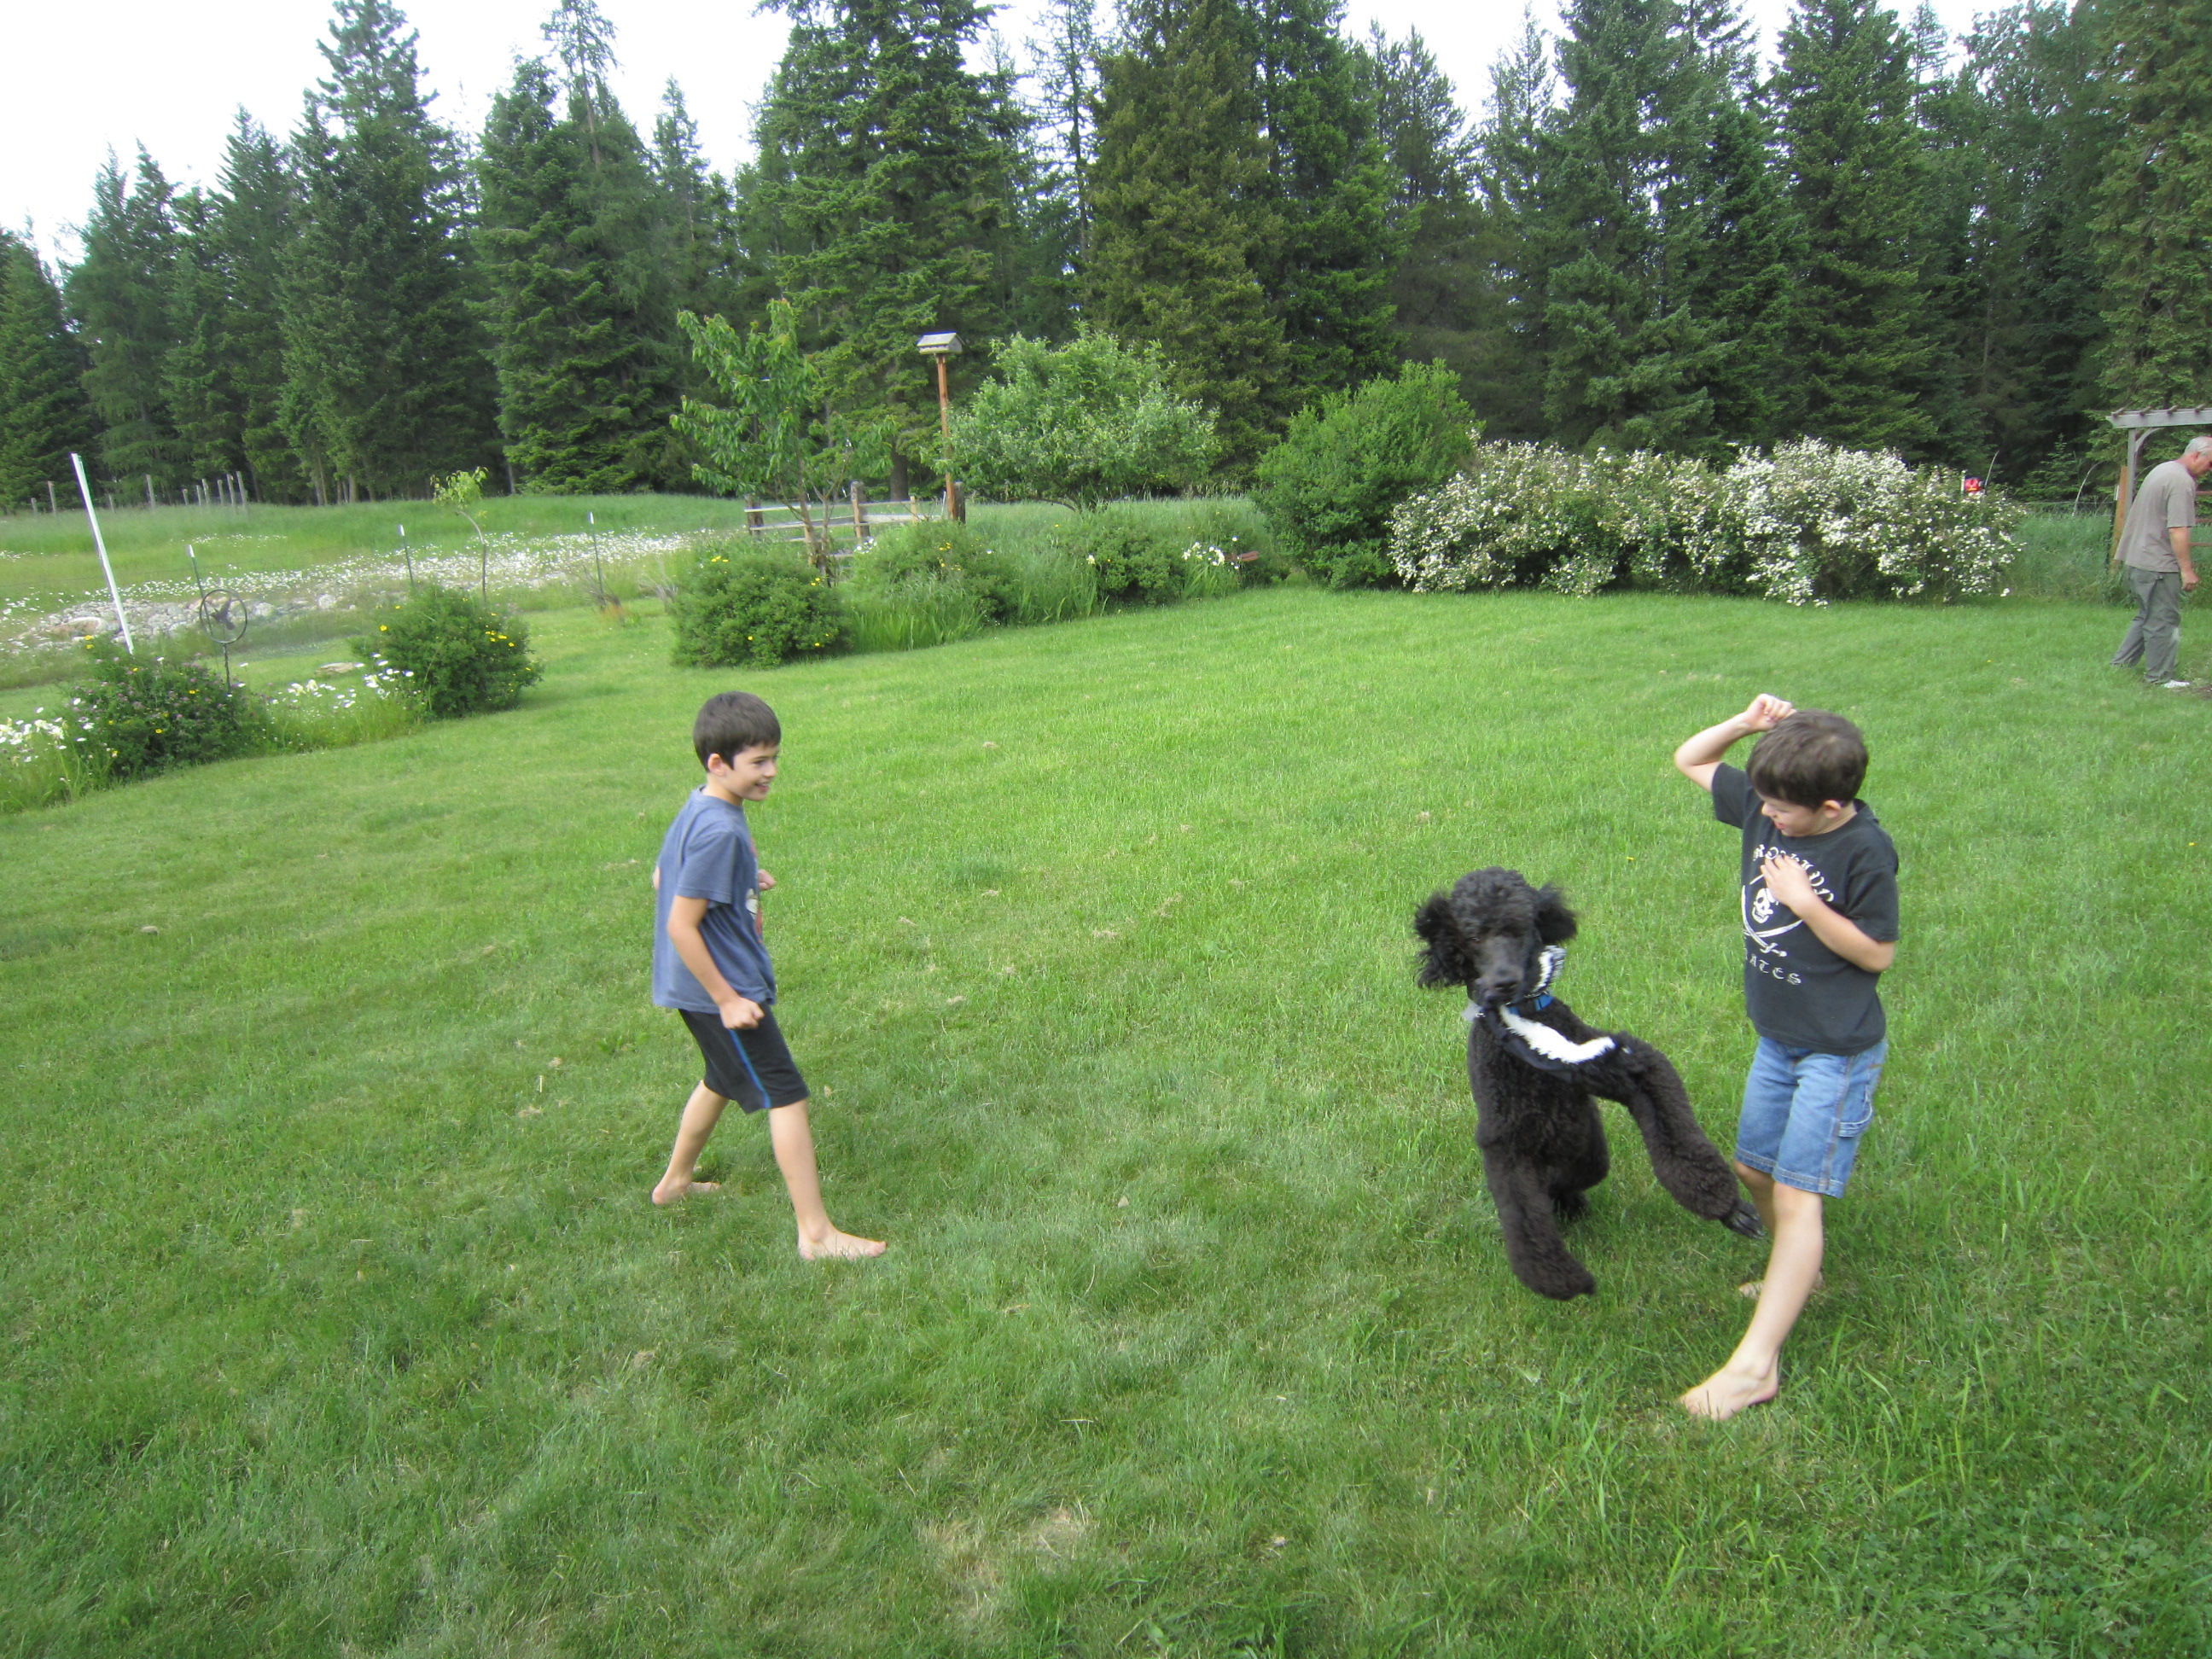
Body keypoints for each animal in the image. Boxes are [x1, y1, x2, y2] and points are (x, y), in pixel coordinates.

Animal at [1414, 867, 1763, 1299]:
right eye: (1473, 937)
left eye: (1521, 928)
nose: (1504, 982)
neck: (1522, 1025)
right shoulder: (1506, 1141)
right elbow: (1524, 1218)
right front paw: (1557, 1278)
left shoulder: (1618, 1065)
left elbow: (1671, 1125)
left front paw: (1728, 1208)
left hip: (1590, 1151)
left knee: (1575, 1177)